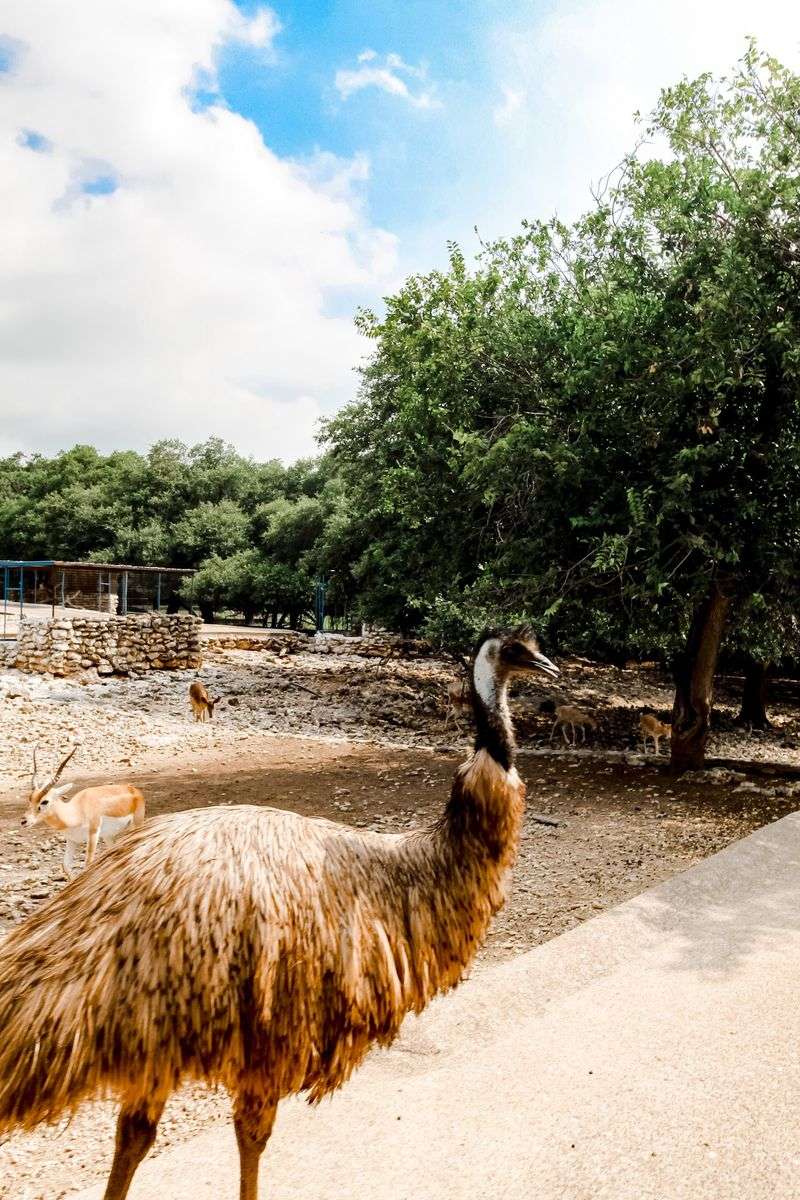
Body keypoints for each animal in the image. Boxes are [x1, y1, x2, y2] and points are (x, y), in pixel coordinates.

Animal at [22, 746, 146, 876]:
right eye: (30, 798)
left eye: (45, 801)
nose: (24, 821)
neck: (76, 812)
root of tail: (134, 790)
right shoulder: (71, 840)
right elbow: (65, 866)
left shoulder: (93, 834)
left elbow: (88, 863)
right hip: (108, 836)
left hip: (135, 826)